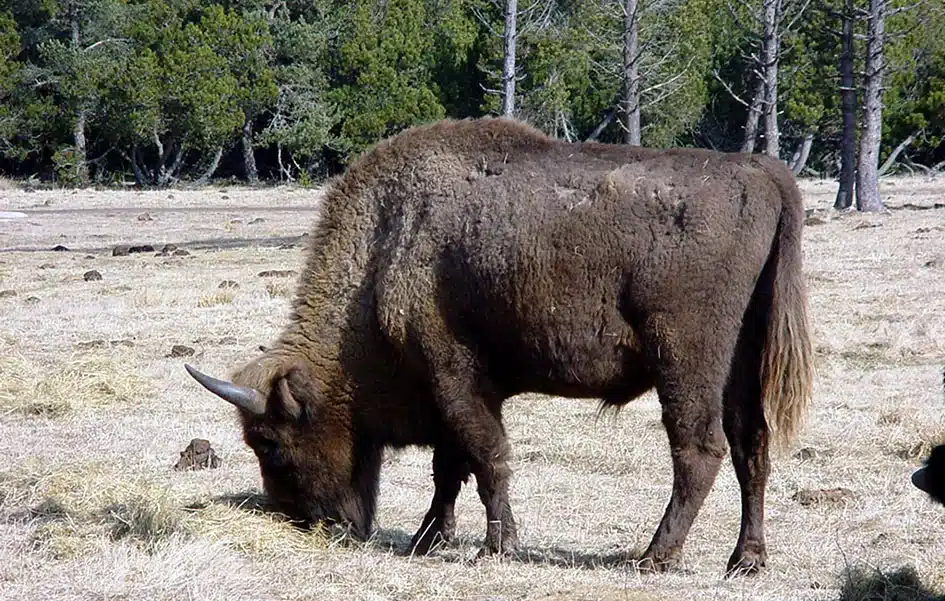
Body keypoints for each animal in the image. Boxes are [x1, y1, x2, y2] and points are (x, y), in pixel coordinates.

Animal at [185, 117, 814, 576]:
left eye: (270, 444)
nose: (310, 525)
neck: (389, 247)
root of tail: (764, 175)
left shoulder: (454, 376)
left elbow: (486, 458)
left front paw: (496, 546)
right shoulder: (451, 392)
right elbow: (451, 467)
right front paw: (428, 539)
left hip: (685, 361)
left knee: (699, 450)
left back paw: (653, 557)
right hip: (741, 363)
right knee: (751, 446)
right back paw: (746, 561)